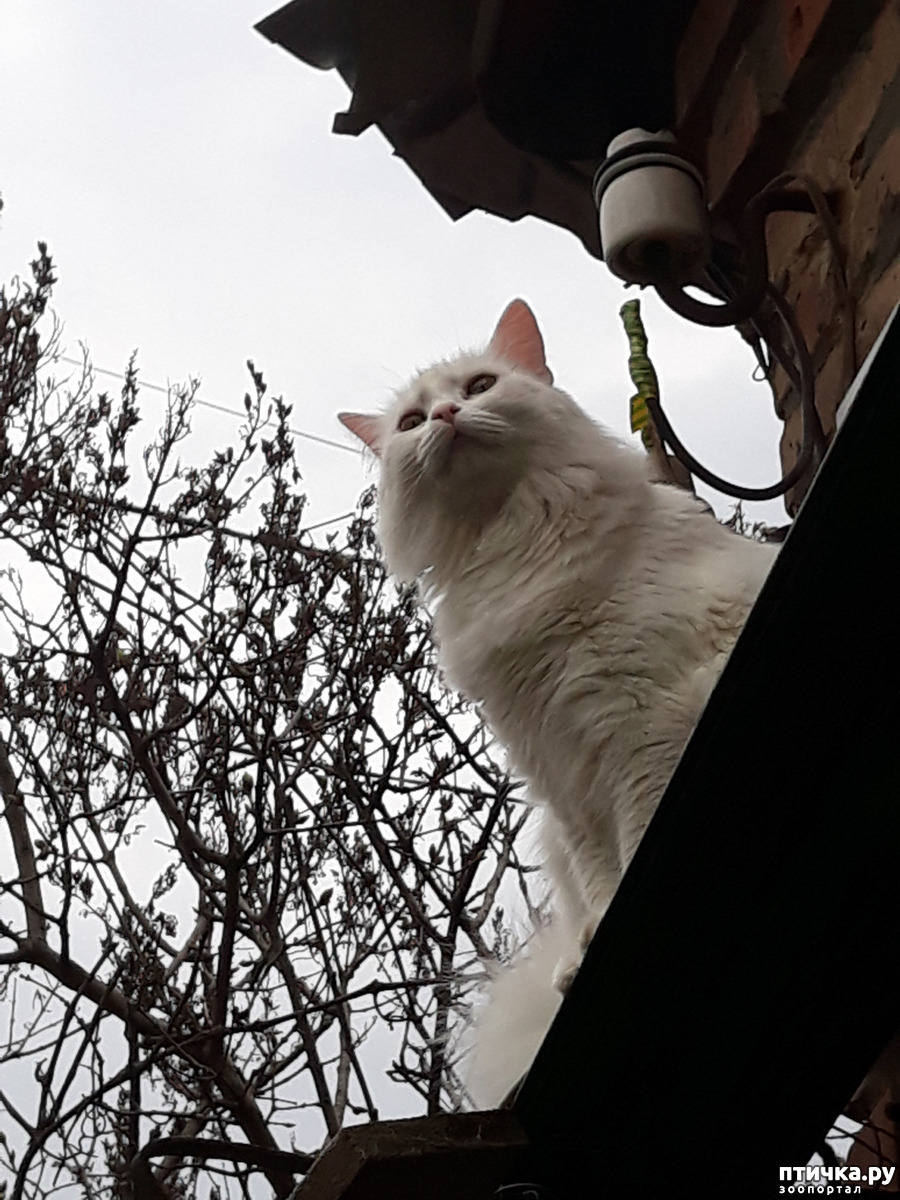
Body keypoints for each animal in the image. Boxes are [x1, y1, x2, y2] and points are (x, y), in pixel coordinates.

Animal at [339, 299, 777, 1107]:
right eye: (412, 422)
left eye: (480, 386)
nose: (445, 415)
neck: (510, 542)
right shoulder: (559, 763)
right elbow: (602, 871)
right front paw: (593, 943)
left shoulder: (640, 726)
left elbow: (634, 843)